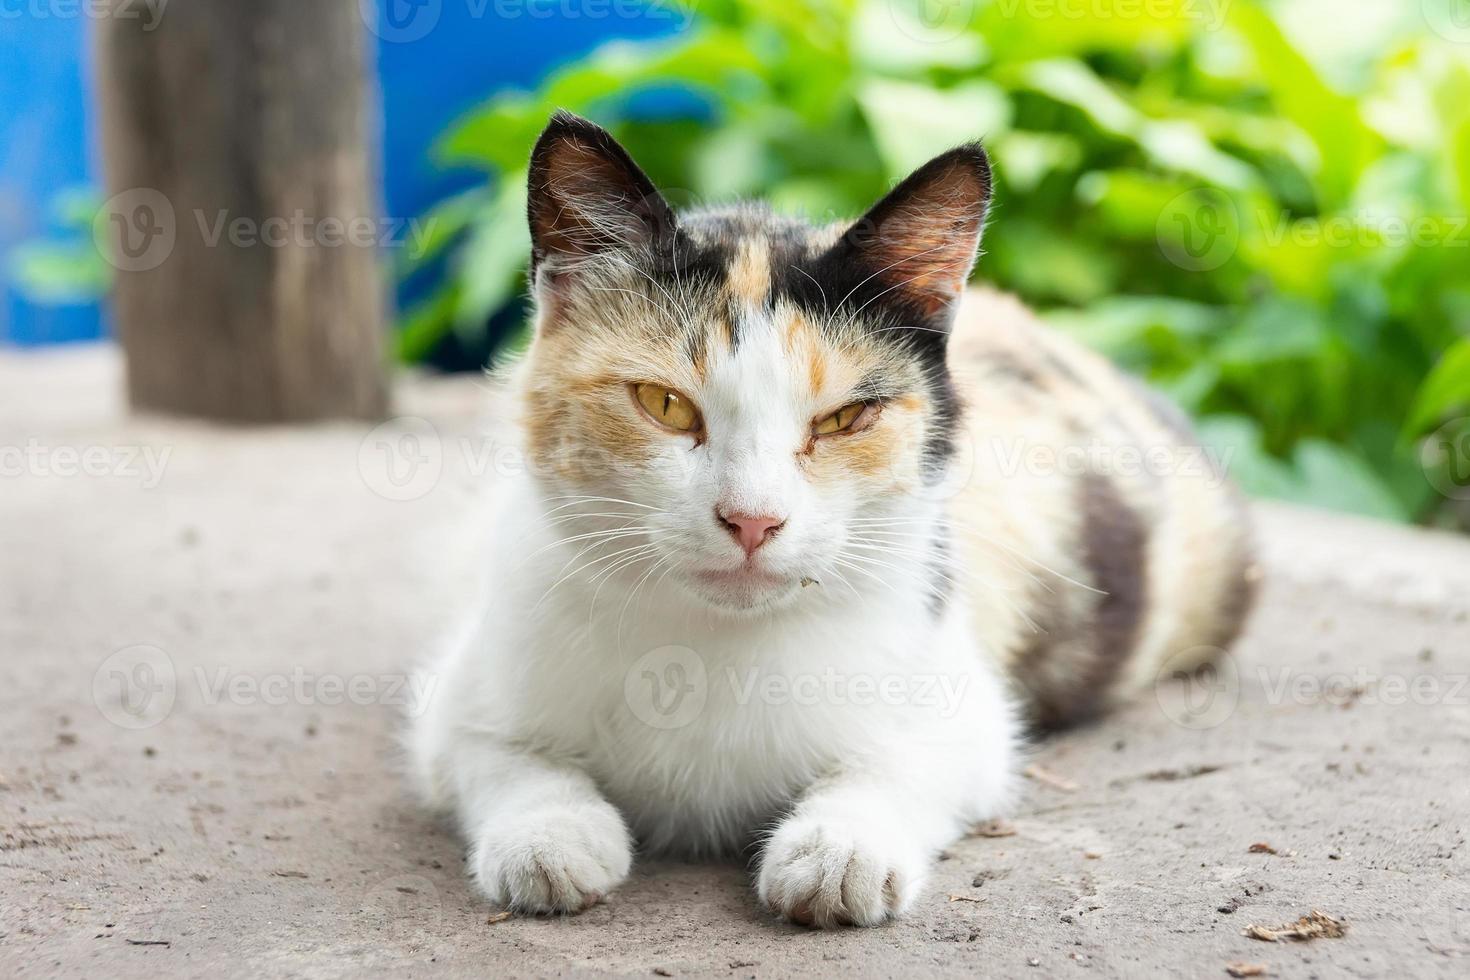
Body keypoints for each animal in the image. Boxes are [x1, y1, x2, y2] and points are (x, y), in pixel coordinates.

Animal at [408, 113, 1258, 928]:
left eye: (846, 418)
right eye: (664, 405)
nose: (752, 520)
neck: (715, 645)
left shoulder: (968, 709)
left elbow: (905, 760)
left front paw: (841, 849)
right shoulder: (454, 699)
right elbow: (496, 752)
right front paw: (548, 834)